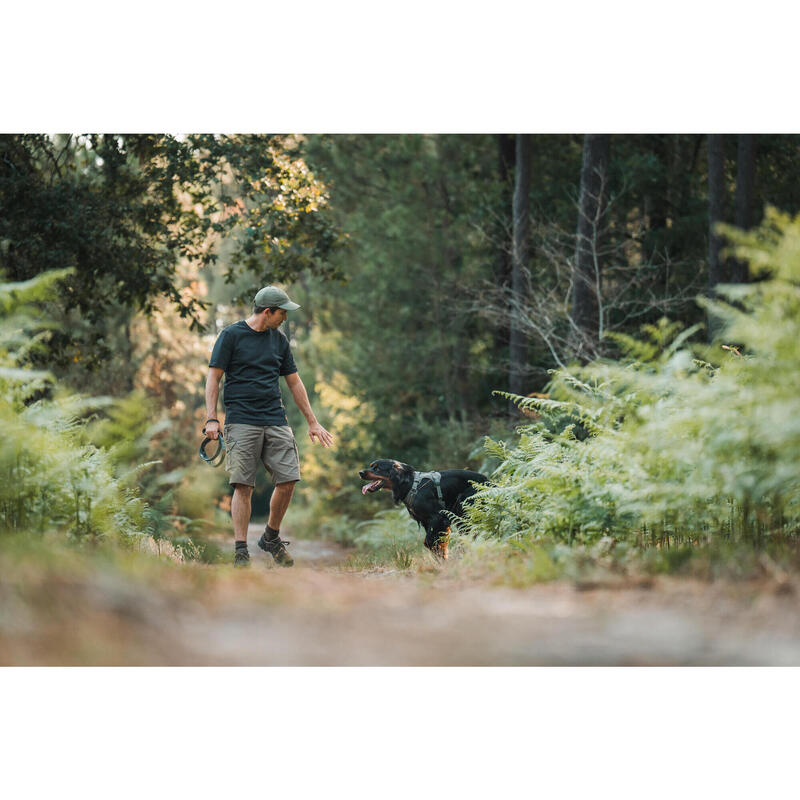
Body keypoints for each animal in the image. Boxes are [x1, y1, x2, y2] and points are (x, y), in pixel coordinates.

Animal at [360, 460, 488, 560]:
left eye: (377, 468)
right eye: (371, 466)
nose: (360, 473)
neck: (410, 485)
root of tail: (487, 480)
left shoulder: (438, 518)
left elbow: (429, 542)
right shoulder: (427, 522)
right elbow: (436, 544)